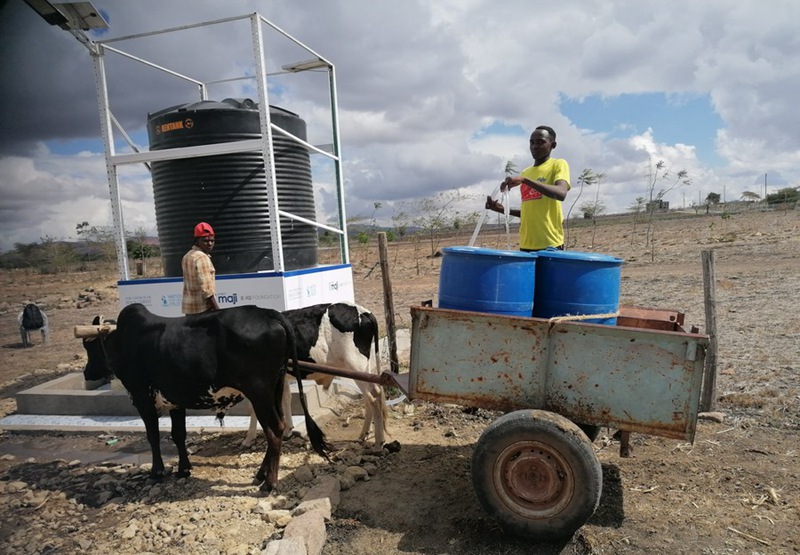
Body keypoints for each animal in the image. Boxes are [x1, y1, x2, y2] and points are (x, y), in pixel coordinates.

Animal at [81, 304, 332, 490]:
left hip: (259, 393)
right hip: (274, 389)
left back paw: (269, 482)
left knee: (275, 430)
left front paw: (156, 472)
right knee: (274, 428)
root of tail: (270, 313)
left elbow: (153, 436)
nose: (87, 373)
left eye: (89, 346)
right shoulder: (175, 400)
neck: (122, 340)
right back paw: (262, 474)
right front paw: (183, 469)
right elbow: (178, 435)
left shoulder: (142, 396)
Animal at [241, 304, 388, 452]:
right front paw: (288, 430)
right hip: (362, 369)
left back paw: (378, 443)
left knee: (374, 397)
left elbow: (253, 407)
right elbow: (286, 399)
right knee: (369, 396)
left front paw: (249, 438)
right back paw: (364, 434)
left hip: (356, 364)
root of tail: (363, 311)